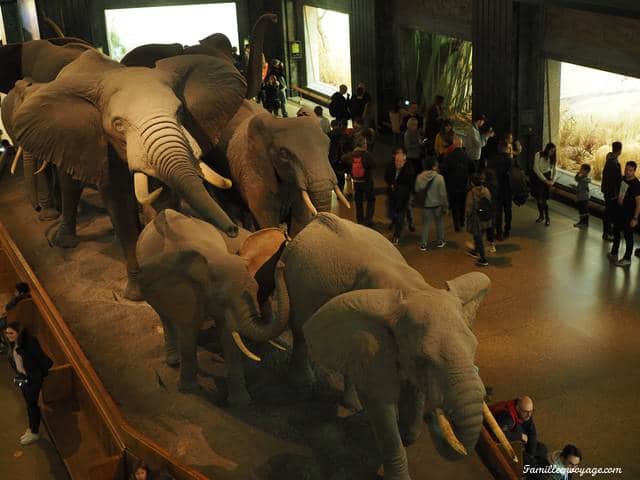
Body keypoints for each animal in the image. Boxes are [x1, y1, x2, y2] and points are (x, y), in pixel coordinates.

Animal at [6, 49, 248, 296]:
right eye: (119, 125)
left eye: (181, 112)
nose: (233, 230)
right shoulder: (101, 145)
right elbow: (120, 205)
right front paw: (137, 294)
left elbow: (163, 199)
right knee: (70, 186)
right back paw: (65, 242)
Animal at [139, 209, 292, 404]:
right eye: (219, 298)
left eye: (255, 288)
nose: (281, 265)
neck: (212, 259)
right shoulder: (185, 292)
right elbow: (188, 332)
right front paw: (188, 390)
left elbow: (229, 336)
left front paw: (241, 403)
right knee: (164, 316)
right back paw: (173, 361)